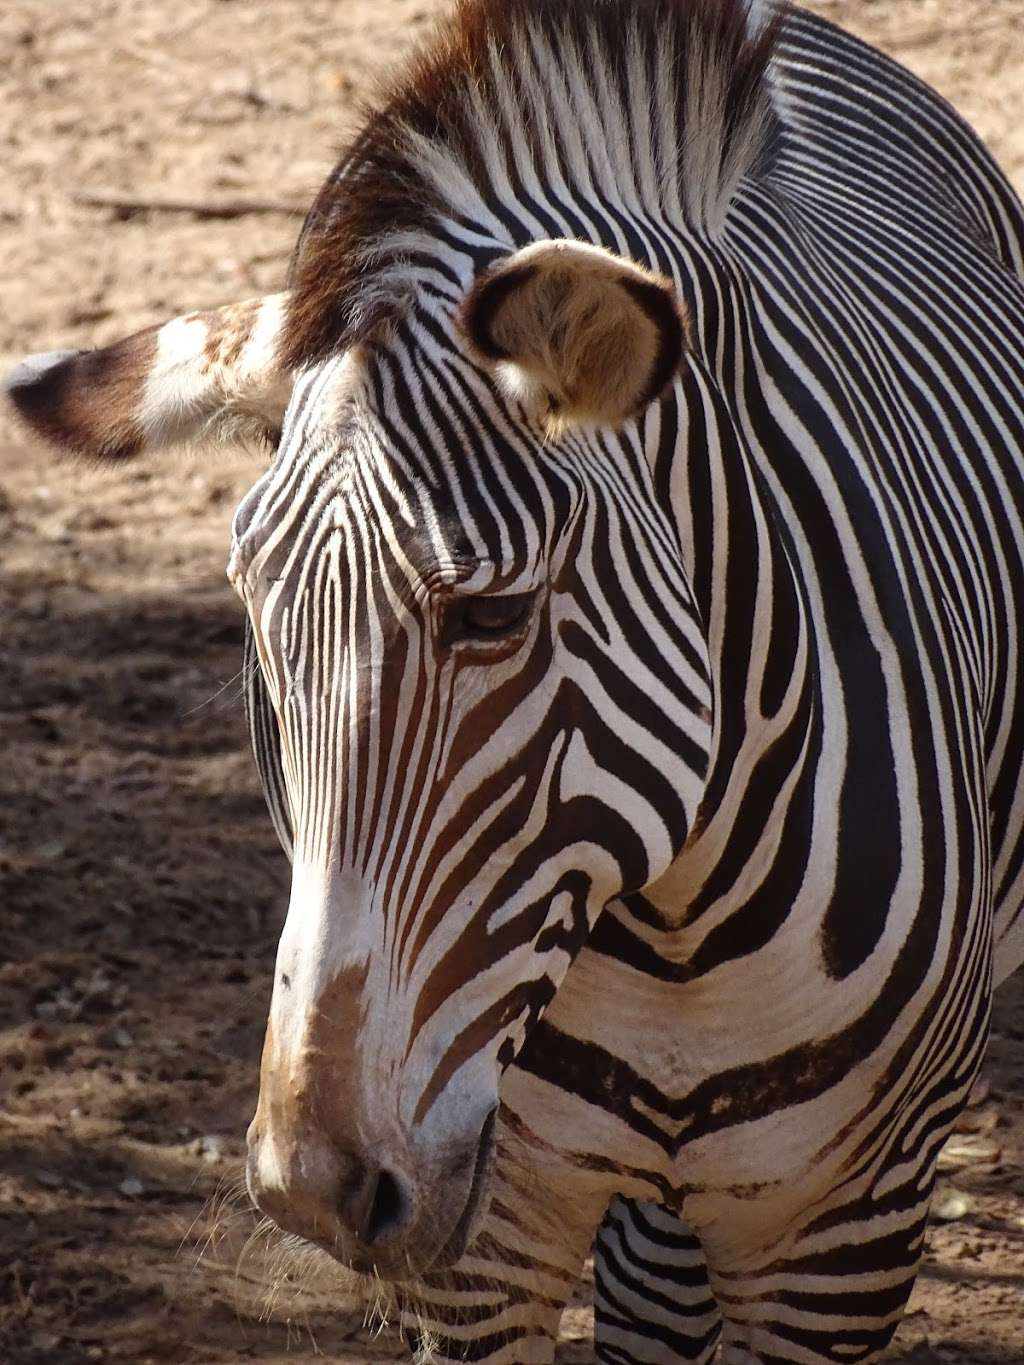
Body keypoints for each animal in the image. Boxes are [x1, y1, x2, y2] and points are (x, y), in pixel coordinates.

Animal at [8, 0, 1024, 1359]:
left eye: (490, 613)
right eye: (257, 626)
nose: (311, 1195)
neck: (674, 932)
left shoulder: (843, 1236)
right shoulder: (483, 1239)